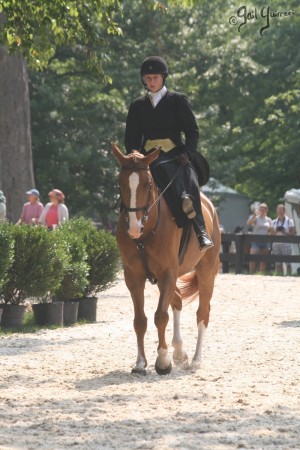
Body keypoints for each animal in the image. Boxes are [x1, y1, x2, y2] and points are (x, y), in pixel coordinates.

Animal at [112, 144, 220, 376]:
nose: (134, 228)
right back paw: (179, 352)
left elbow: (160, 316)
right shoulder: (134, 278)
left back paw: (196, 360)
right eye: (120, 183)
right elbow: (140, 321)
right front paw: (140, 363)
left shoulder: (167, 274)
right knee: (177, 301)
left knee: (202, 312)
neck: (145, 233)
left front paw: (162, 361)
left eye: (146, 184)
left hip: (206, 270)